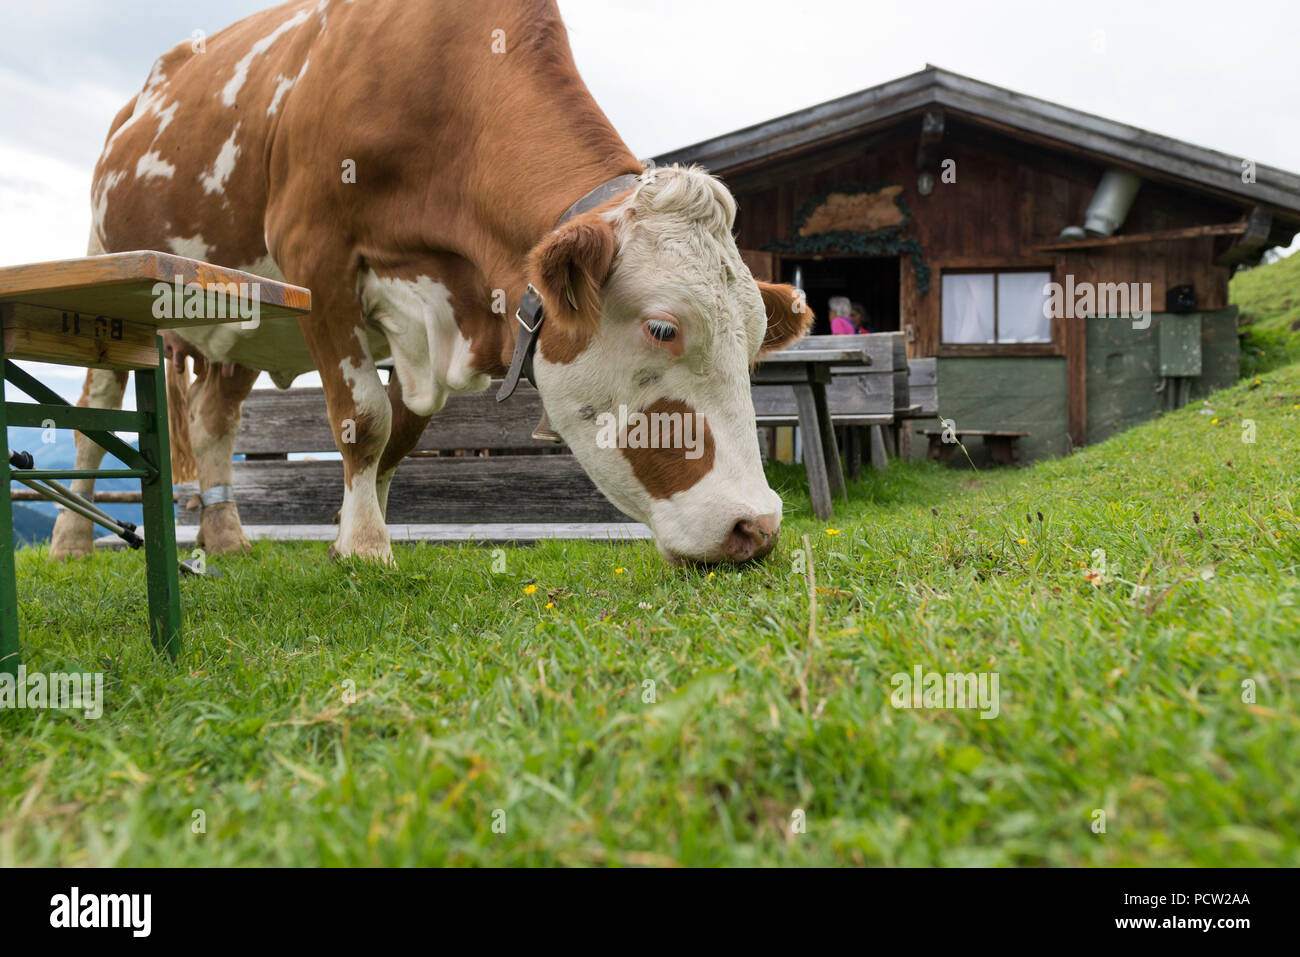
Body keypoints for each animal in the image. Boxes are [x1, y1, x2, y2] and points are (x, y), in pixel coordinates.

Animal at [55, 0, 816, 564]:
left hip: (246, 322)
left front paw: (347, 538)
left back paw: (227, 539)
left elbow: (403, 434)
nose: (756, 527)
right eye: (662, 327)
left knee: (213, 416)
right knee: (94, 411)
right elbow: (364, 419)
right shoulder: (315, 258)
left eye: (755, 344)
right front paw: (367, 549)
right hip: (102, 261)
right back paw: (71, 544)